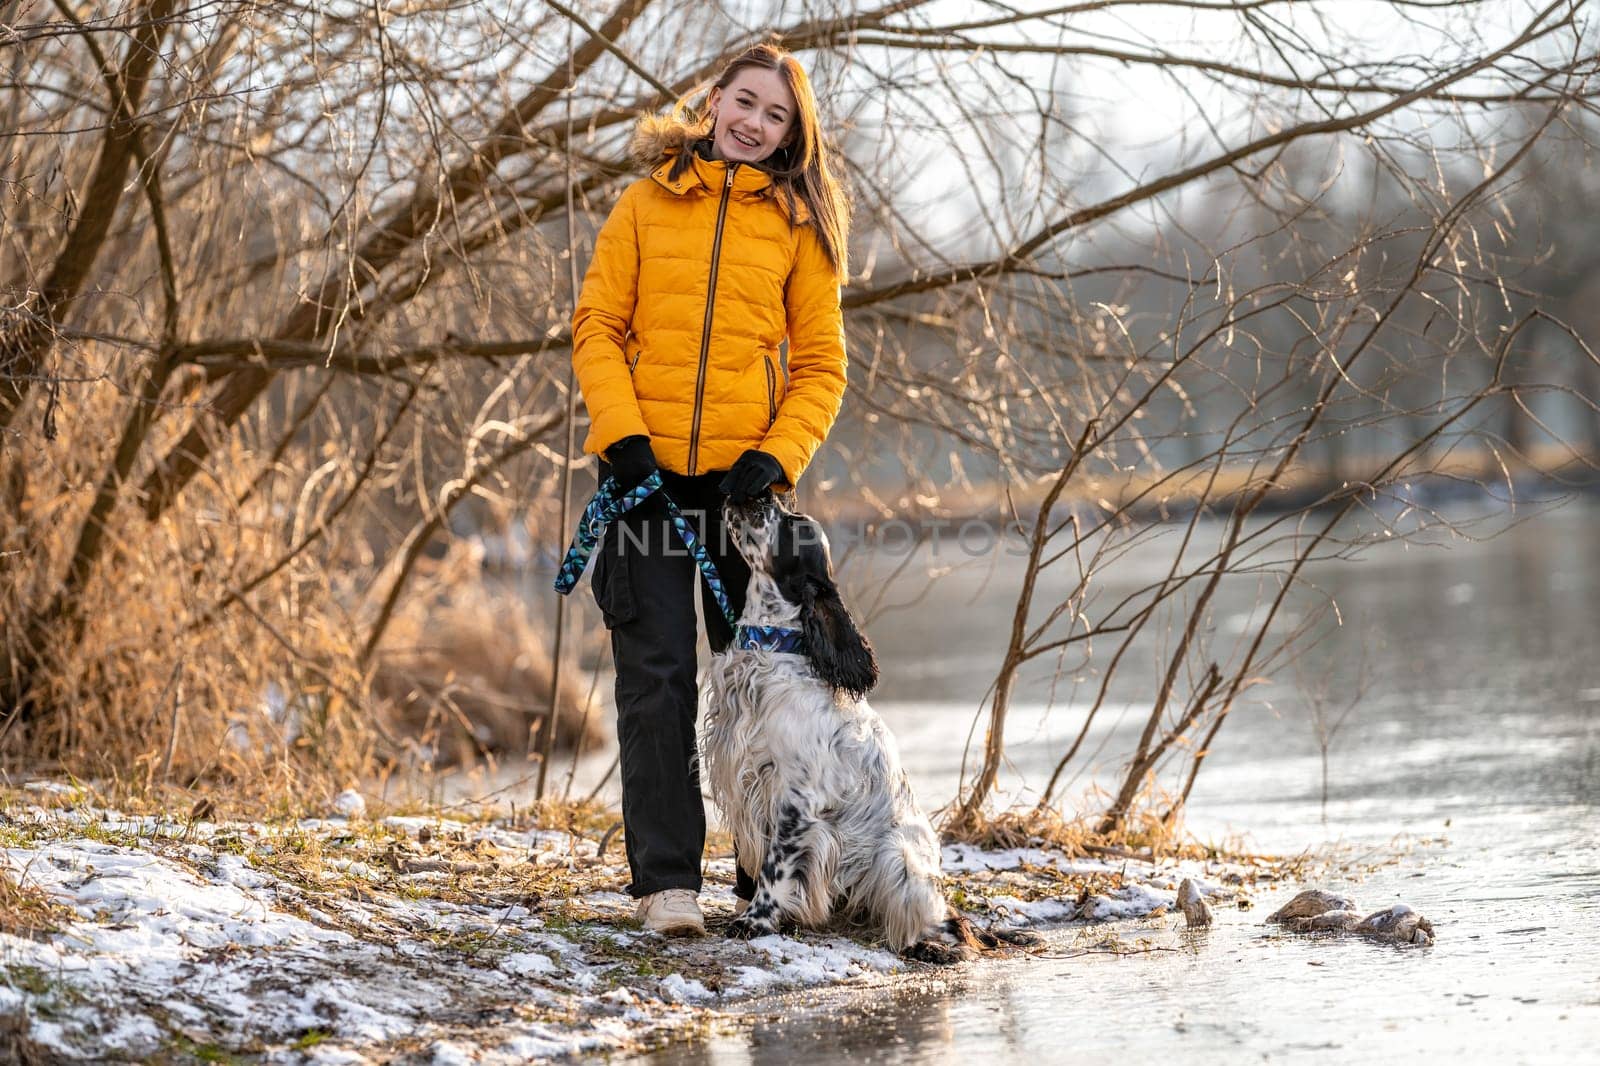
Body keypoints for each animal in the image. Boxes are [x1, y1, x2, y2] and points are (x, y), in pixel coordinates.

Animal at [704, 492, 1036, 960]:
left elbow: (776, 866)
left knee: (950, 925)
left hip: (896, 858)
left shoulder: (795, 797)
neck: (773, 650)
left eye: (793, 524)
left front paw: (756, 919)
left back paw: (930, 946)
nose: (755, 493)